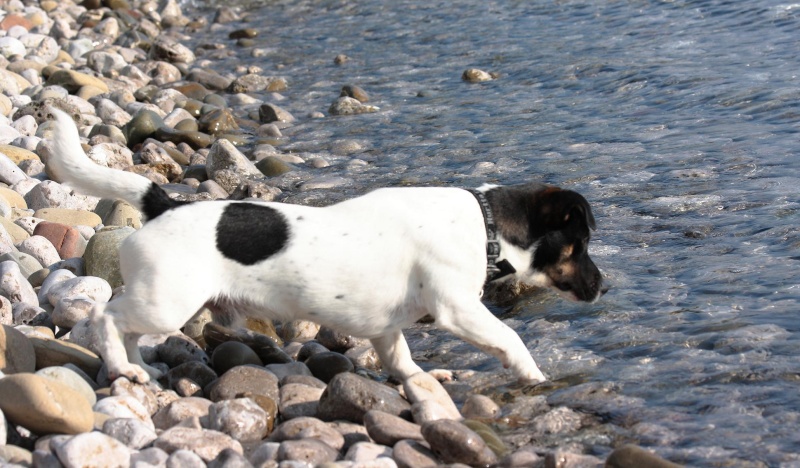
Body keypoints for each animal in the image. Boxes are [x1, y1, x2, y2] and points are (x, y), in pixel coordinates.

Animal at [45, 108, 608, 386]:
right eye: (579, 246)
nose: (603, 286)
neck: (487, 223)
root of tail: (163, 204)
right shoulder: (458, 309)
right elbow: (510, 340)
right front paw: (534, 375)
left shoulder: (387, 328)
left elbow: (402, 360)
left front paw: (420, 377)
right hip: (165, 302)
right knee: (106, 318)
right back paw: (121, 368)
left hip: (158, 304)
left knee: (126, 329)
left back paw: (136, 368)